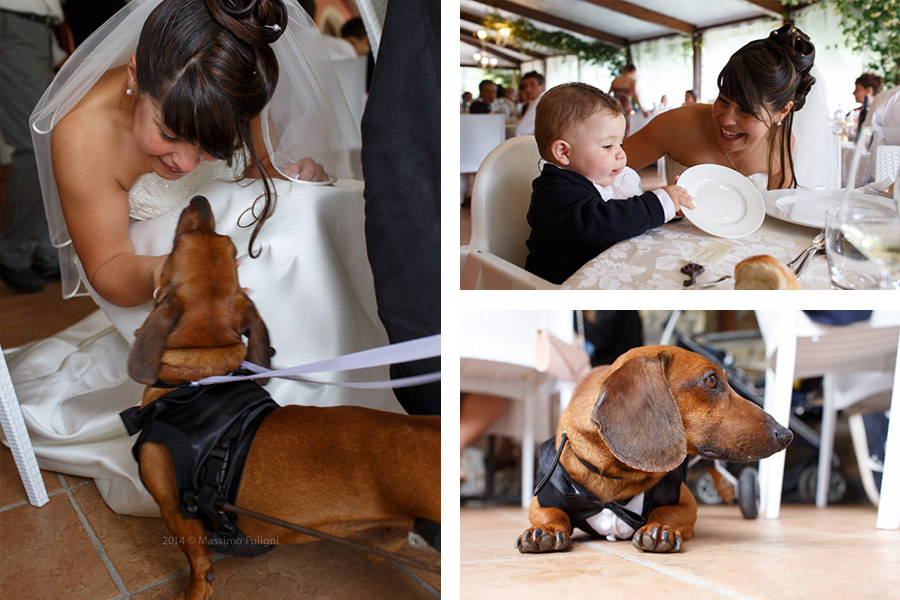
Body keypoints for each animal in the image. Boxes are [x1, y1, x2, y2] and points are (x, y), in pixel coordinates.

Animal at [123, 195, 440, 596]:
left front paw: (193, 592)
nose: (200, 199)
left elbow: (198, 564)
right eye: (229, 247)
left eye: (181, 241)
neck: (200, 376)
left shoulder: (174, 509)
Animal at [516, 344, 792, 556]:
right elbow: (553, 514)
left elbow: (664, 510)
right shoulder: (541, 501)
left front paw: (658, 528)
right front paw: (548, 530)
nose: (786, 434)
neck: (617, 476)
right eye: (711, 380)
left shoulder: (686, 503)